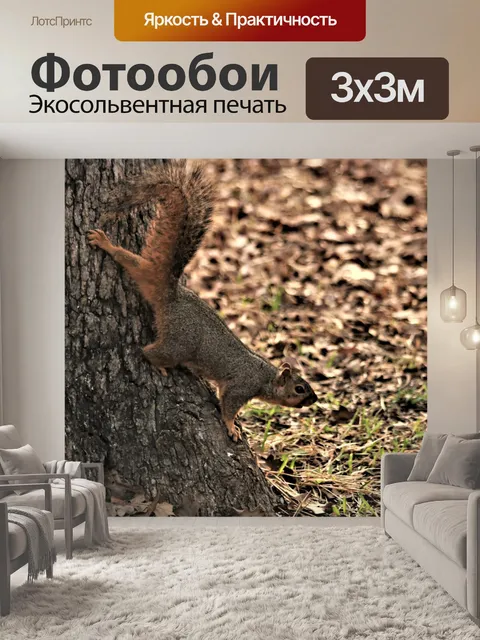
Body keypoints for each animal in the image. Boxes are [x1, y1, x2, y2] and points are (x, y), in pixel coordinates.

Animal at [87, 160, 318, 442]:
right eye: (299, 389)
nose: (315, 400)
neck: (265, 376)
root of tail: (173, 295)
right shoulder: (241, 387)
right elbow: (228, 406)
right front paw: (232, 427)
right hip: (179, 342)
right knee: (148, 349)